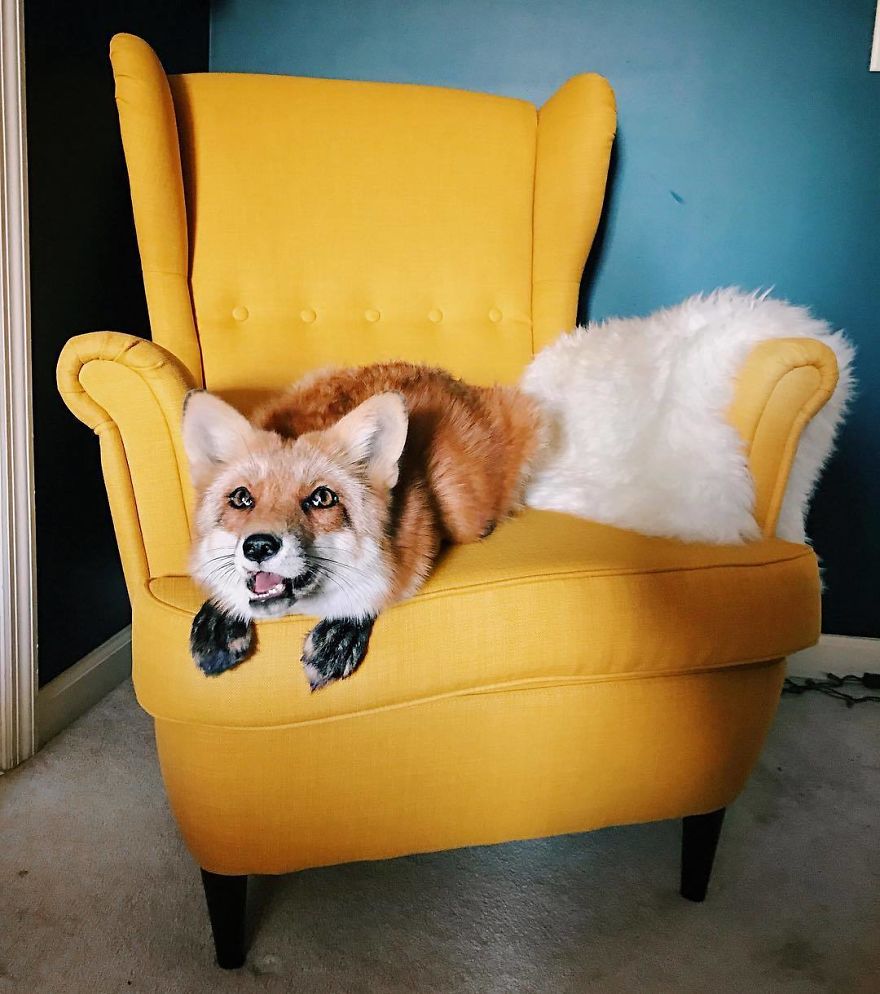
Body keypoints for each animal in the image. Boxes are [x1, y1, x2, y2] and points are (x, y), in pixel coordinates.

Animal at [182, 361, 544, 690]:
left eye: (322, 498)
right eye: (242, 498)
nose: (258, 546)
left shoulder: (422, 532)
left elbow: (381, 586)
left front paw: (343, 627)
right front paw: (222, 612)